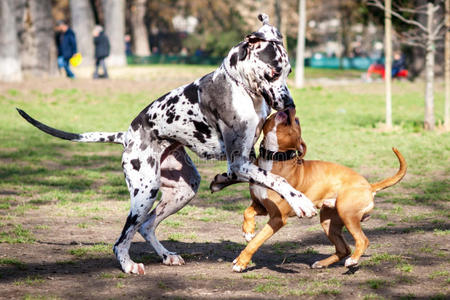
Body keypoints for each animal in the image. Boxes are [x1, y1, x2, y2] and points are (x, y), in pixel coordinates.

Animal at [232, 107, 408, 272]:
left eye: (297, 121)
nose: (289, 108)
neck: (274, 158)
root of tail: (369, 185)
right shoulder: (260, 205)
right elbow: (247, 212)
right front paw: (248, 231)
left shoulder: (277, 218)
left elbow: (256, 241)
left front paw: (241, 262)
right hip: (329, 221)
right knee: (343, 248)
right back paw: (322, 263)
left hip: (347, 213)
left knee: (362, 240)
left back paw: (352, 260)